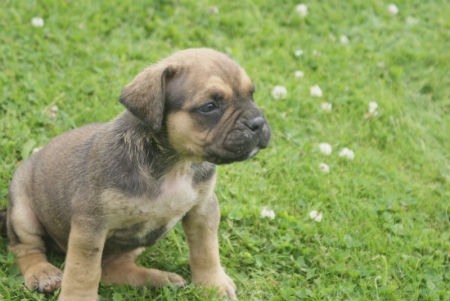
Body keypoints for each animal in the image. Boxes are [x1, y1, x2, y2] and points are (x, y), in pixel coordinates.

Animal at [6, 48, 270, 298]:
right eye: (209, 107)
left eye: (251, 94)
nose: (258, 123)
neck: (176, 164)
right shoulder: (91, 225)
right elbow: (83, 270)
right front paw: (78, 297)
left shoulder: (203, 209)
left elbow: (206, 250)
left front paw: (213, 285)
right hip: (21, 211)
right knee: (27, 248)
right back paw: (43, 274)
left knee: (111, 268)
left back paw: (158, 279)